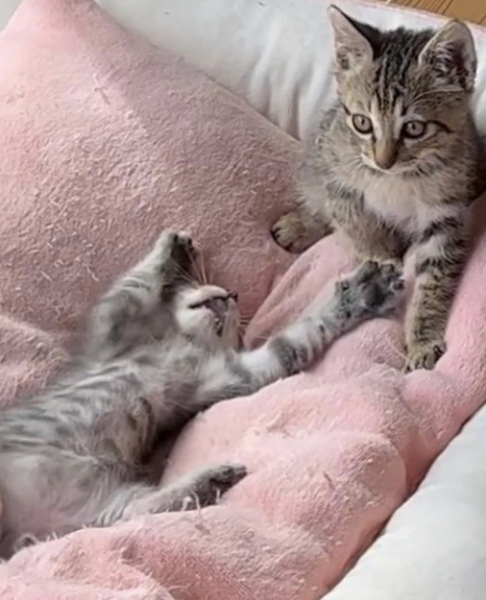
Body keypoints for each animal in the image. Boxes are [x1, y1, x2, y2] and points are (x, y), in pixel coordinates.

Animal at [0, 229, 403, 558]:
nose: (233, 293)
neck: (177, 343)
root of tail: (15, 536)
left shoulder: (230, 376)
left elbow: (297, 337)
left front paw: (361, 297)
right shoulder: (111, 329)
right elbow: (132, 285)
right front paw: (171, 248)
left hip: (102, 508)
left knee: (141, 511)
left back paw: (209, 481)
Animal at [271, 6, 485, 371]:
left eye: (414, 128)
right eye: (362, 123)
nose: (383, 161)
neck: (397, 179)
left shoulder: (446, 213)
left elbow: (435, 277)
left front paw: (422, 339)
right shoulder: (337, 177)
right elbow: (355, 222)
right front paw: (381, 261)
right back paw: (299, 226)